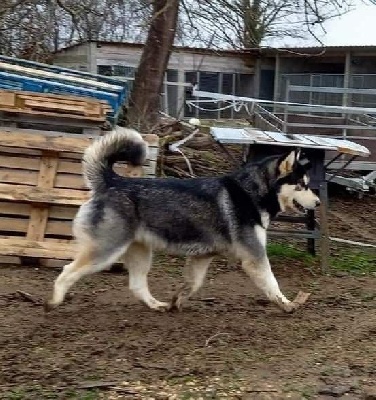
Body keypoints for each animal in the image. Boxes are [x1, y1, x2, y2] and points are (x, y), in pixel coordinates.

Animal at [44, 127, 320, 312]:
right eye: (303, 185)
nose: (318, 202)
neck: (251, 193)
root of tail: (113, 181)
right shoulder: (254, 257)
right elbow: (272, 282)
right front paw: (286, 304)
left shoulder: (202, 256)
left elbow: (193, 284)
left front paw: (179, 299)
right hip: (106, 251)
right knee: (67, 271)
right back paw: (53, 302)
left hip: (140, 253)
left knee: (137, 285)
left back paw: (157, 305)